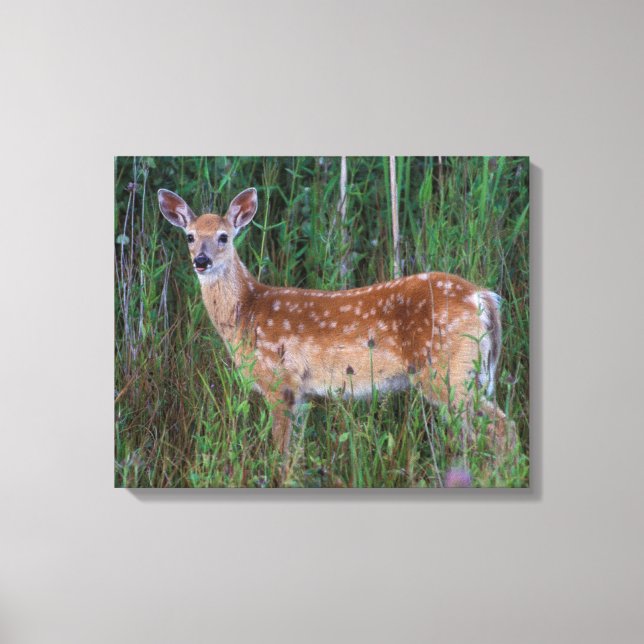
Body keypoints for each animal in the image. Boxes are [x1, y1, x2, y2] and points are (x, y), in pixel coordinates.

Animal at [158, 187, 517, 460]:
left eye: (224, 237)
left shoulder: (279, 382)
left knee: (498, 430)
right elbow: (295, 452)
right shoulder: (302, 393)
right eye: (189, 236)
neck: (247, 312)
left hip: (448, 373)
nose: (201, 261)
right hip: (468, 374)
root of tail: (482, 297)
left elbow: (280, 455)